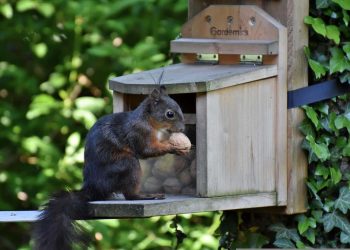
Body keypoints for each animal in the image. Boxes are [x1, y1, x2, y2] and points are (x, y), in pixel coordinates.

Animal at [33, 86, 190, 250]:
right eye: (170, 114)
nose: (182, 128)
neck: (148, 120)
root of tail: (93, 187)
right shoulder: (139, 132)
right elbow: (146, 150)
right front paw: (174, 147)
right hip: (128, 165)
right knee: (129, 195)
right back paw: (145, 196)